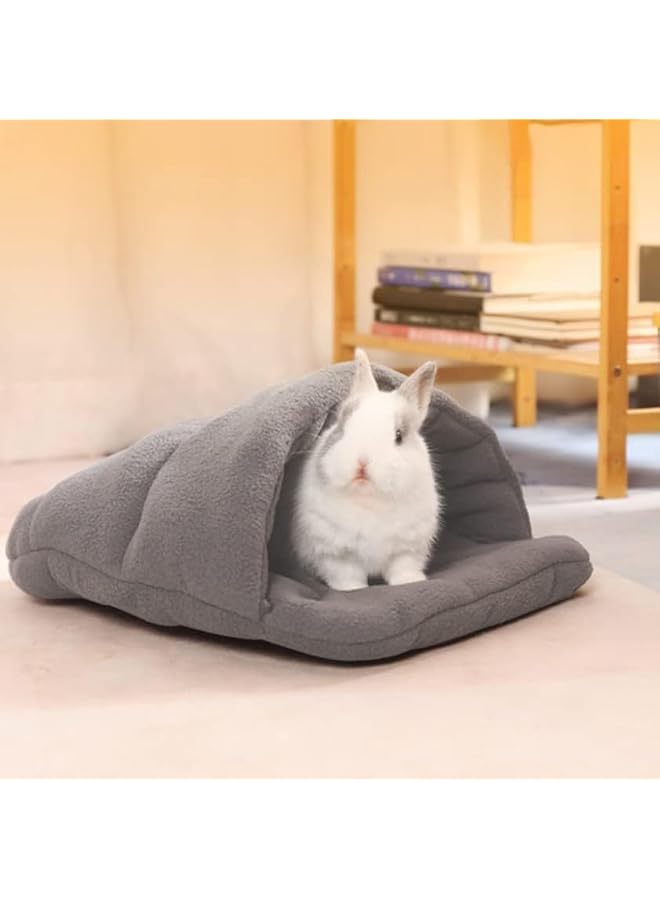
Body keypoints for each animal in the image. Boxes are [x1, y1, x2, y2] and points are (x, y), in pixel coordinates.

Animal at [292, 348, 441, 592]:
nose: (362, 461)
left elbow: (403, 567)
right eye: (341, 428)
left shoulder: (409, 548)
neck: (369, 500)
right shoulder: (336, 553)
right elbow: (347, 575)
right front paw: (353, 590)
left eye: (399, 436)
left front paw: (410, 582)